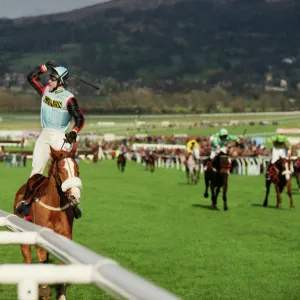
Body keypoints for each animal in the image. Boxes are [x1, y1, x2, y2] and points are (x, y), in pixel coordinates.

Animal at [13, 144, 82, 298]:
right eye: (61, 169)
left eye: (77, 168)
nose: (75, 196)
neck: (55, 207)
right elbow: (42, 259)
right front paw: (44, 291)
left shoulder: (65, 236)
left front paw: (61, 295)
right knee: (28, 258)